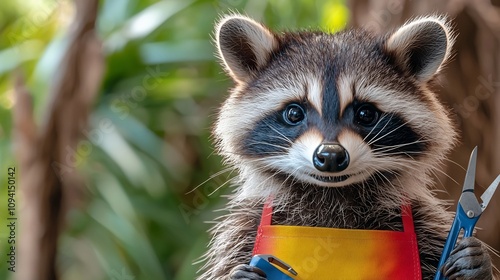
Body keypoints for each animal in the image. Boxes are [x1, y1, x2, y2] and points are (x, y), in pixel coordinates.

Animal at [197, 14, 494, 278]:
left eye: (365, 114)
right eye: (294, 113)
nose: (330, 156)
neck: (333, 195)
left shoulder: (424, 221)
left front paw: (475, 264)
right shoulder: (246, 226)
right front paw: (239, 274)